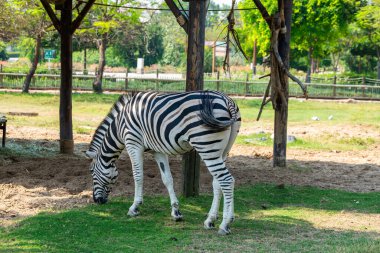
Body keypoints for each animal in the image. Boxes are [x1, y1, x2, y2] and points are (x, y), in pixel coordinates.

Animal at [85, 91, 240, 235]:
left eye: (91, 171)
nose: (97, 200)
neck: (119, 124)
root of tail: (227, 100)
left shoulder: (133, 143)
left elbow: (138, 176)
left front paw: (134, 207)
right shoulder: (158, 150)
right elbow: (167, 179)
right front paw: (176, 212)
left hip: (206, 146)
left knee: (227, 180)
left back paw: (225, 225)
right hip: (222, 151)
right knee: (217, 183)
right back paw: (210, 220)